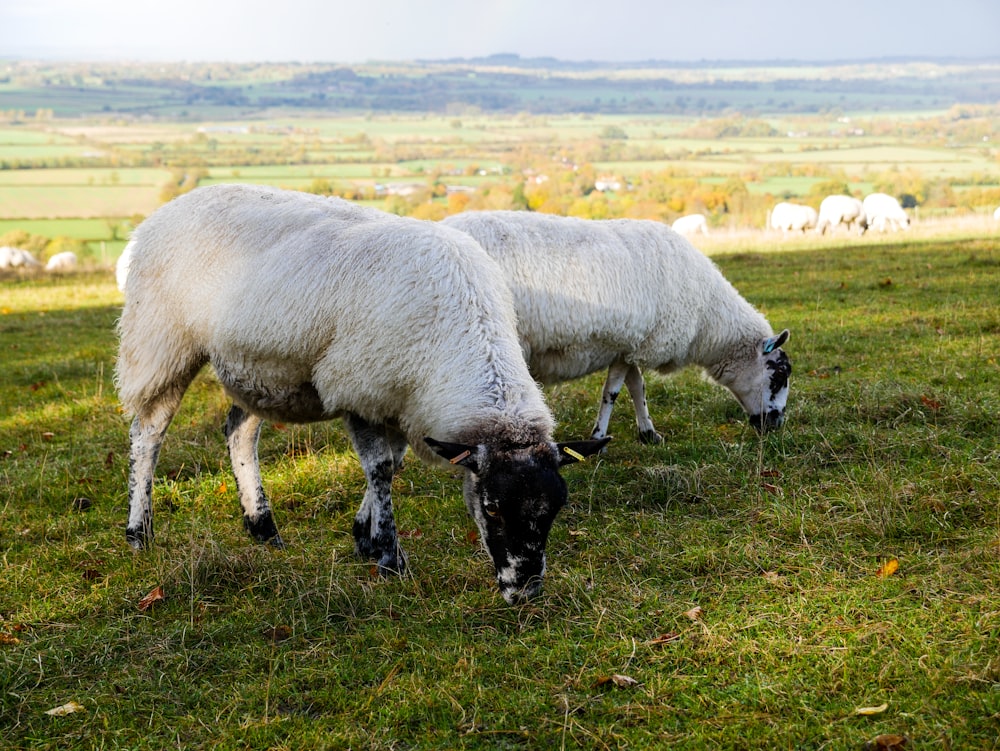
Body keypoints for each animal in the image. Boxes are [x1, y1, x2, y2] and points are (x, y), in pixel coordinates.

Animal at [113, 185, 604, 608]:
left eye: (556, 509)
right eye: (492, 508)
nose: (525, 591)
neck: (467, 332)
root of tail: (166, 211)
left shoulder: (402, 397)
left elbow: (393, 464)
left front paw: (364, 537)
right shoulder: (359, 386)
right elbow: (381, 468)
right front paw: (389, 557)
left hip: (259, 370)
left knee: (238, 431)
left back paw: (263, 527)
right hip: (161, 339)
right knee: (148, 433)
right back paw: (139, 533)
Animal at [442, 210, 792, 446]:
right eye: (778, 375)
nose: (776, 424)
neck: (708, 317)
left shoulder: (631, 345)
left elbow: (637, 388)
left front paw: (649, 432)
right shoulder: (631, 345)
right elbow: (612, 392)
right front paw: (599, 437)